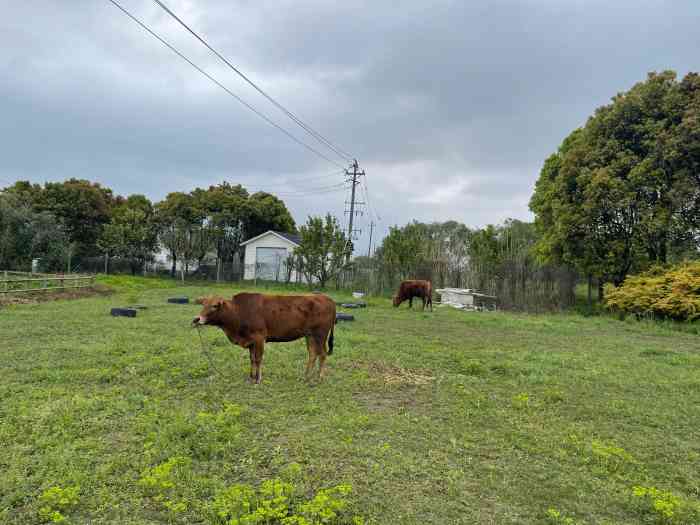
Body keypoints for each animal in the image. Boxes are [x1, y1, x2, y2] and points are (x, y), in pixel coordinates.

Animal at [191, 292, 334, 382]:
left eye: (214, 306)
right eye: (203, 304)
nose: (197, 319)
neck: (238, 312)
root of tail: (326, 298)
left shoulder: (259, 338)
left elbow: (258, 359)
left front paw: (258, 379)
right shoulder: (250, 341)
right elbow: (252, 359)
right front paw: (251, 376)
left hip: (320, 335)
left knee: (322, 354)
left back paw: (319, 377)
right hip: (310, 335)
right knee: (313, 354)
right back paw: (306, 376)